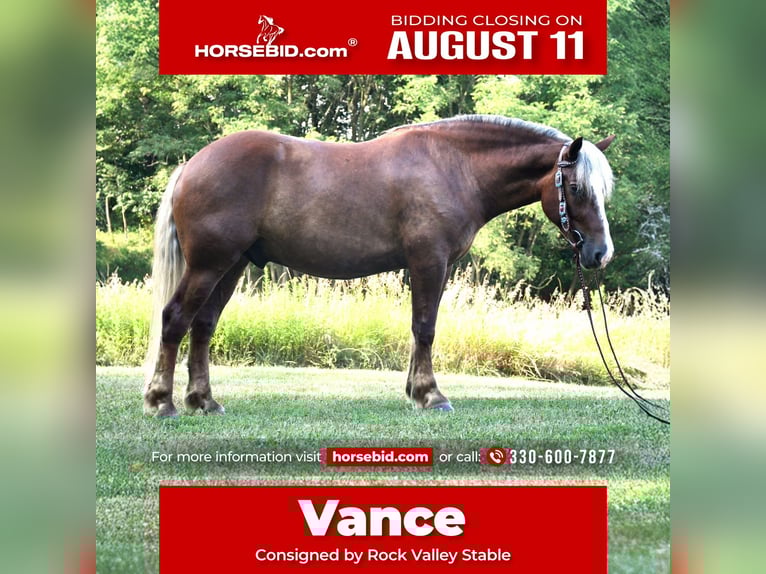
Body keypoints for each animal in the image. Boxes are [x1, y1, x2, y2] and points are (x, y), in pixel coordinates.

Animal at [143, 115, 615, 417]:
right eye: (576, 188)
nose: (601, 253)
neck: (453, 166)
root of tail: (192, 164)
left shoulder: (435, 266)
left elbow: (421, 327)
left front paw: (415, 390)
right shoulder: (429, 261)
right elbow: (425, 327)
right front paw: (431, 395)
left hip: (232, 265)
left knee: (203, 325)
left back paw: (204, 401)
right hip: (210, 264)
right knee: (176, 318)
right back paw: (162, 402)